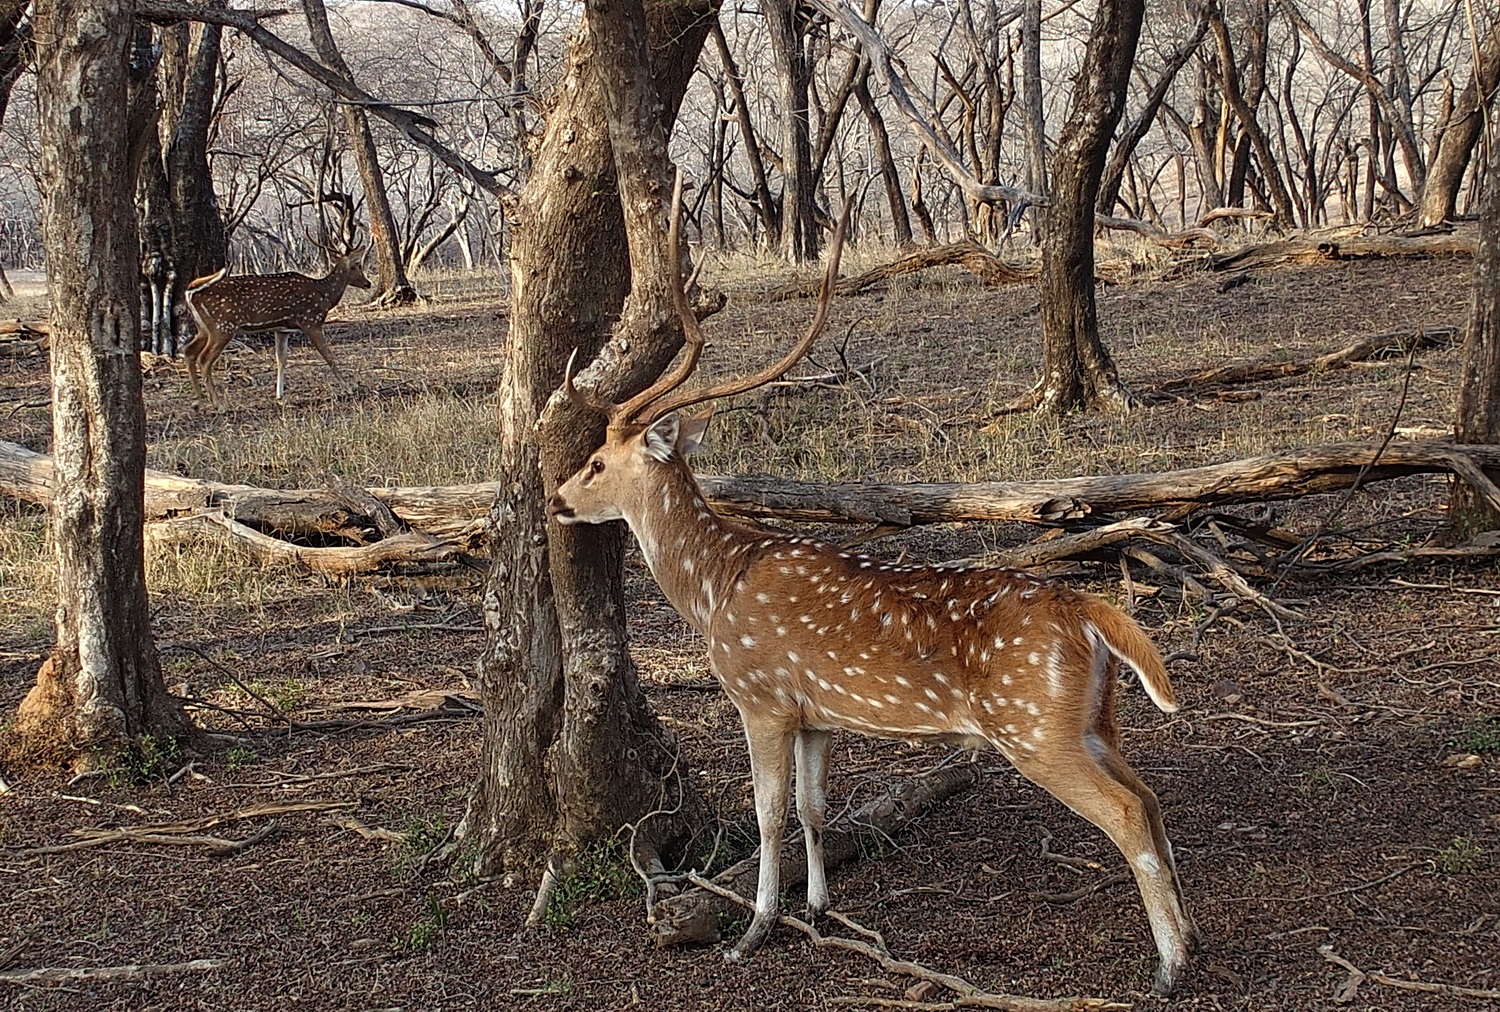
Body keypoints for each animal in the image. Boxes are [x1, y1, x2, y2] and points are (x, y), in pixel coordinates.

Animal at [182, 247, 372, 410]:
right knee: (204, 359)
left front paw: (280, 396)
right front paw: (349, 388)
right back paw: (219, 405)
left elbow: (281, 360)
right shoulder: (311, 320)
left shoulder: (282, 329)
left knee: (189, 351)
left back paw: (198, 401)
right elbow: (329, 356)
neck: (324, 295)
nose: (368, 283)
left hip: (204, 329)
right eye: (357, 265)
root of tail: (191, 293)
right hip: (222, 327)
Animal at [549, 182, 1194, 995]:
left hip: (1036, 730)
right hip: (1093, 721)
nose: (556, 499)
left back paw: (1170, 966)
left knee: (1128, 813)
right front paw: (819, 906)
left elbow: (769, 814)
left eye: (599, 462)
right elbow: (815, 808)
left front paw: (753, 930)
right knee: (1151, 796)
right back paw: (1190, 938)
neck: (715, 587)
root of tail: (1088, 609)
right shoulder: (816, 714)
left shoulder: (760, 695)